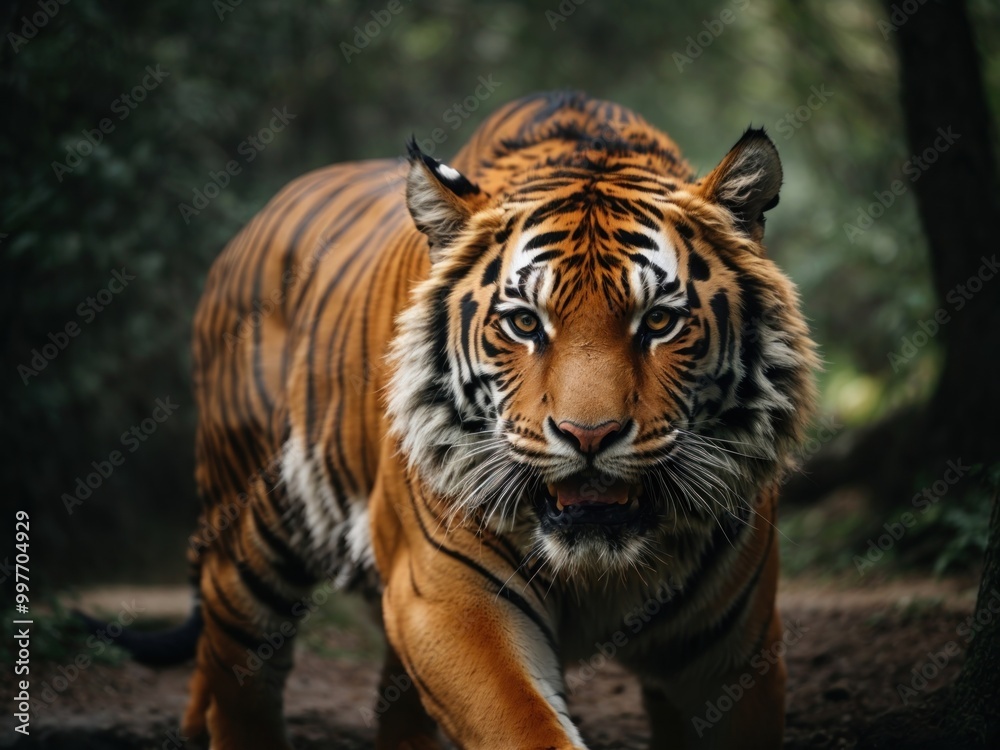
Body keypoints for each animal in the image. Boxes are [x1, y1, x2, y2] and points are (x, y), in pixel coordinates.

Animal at [113, 90, 818, 749]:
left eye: (661, 322)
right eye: (525, 323)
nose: (588, 436)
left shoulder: (735, 656)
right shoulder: (451, 598)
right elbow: (525, 727)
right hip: (254, 519)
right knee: (237, 655)